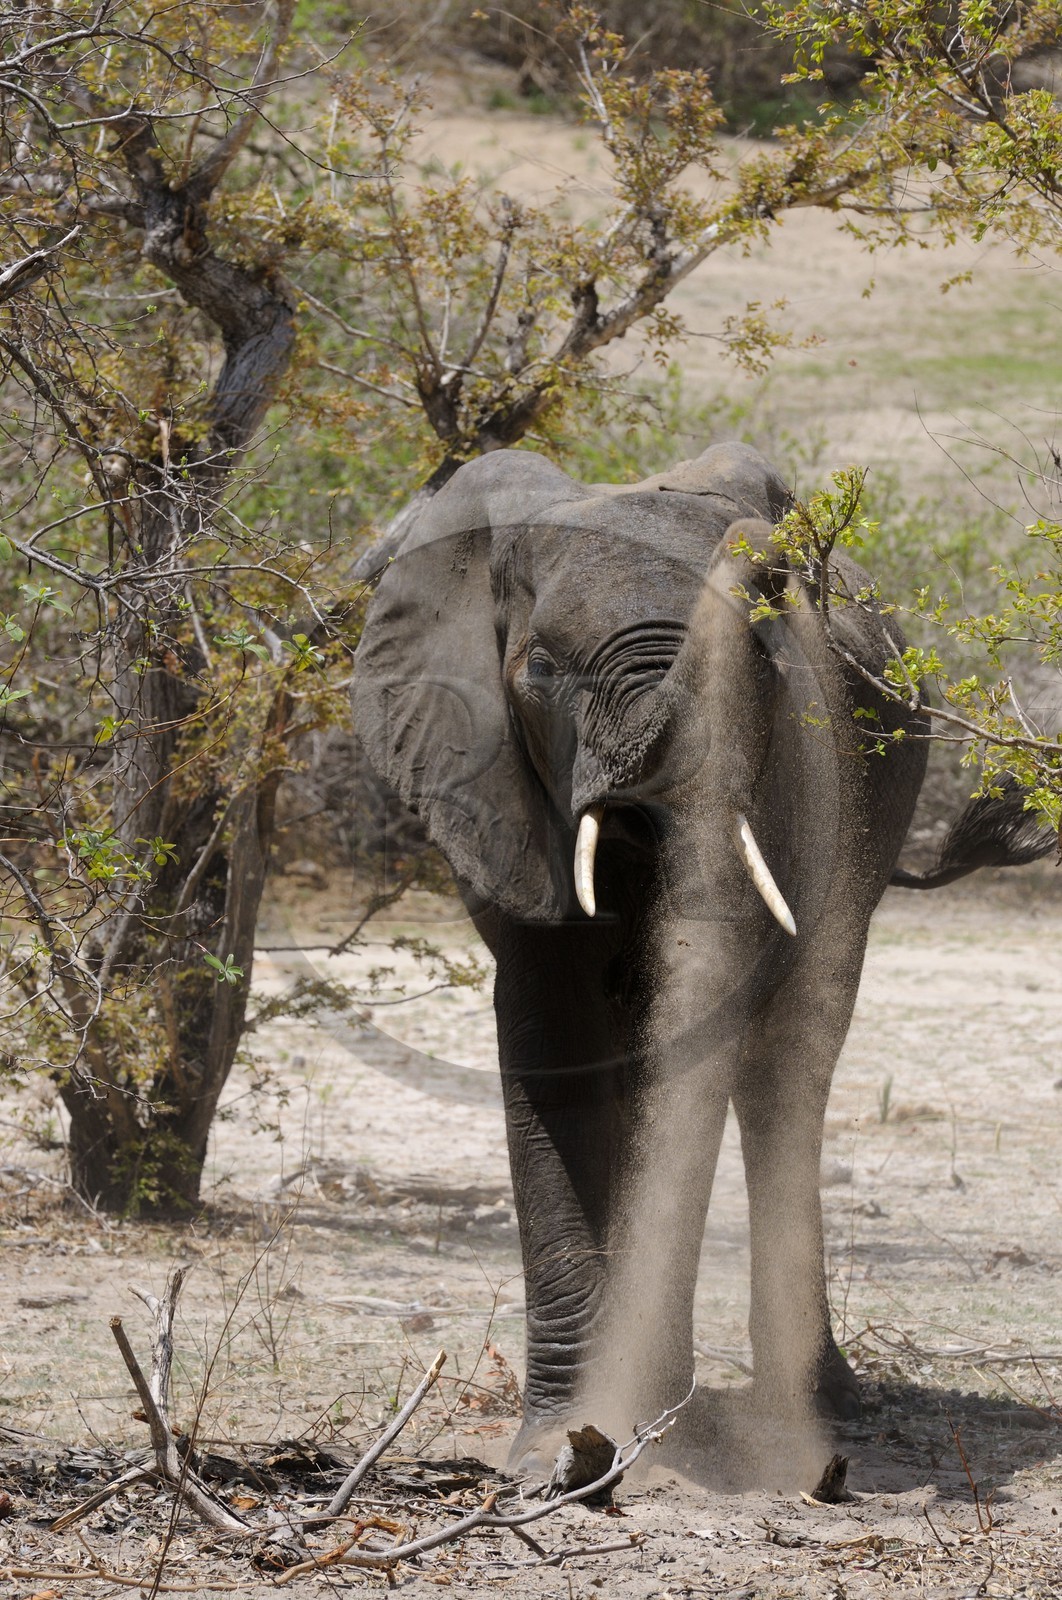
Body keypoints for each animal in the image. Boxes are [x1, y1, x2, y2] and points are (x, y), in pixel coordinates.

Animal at [352, 440, 1039, 1471]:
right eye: (539, 668)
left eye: (763, 659)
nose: (765, 544)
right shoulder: (490, 782)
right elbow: (553, 1032)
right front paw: (560, 1446)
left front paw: (644, 1422)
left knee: (789, 1067)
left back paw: (821, 1407)